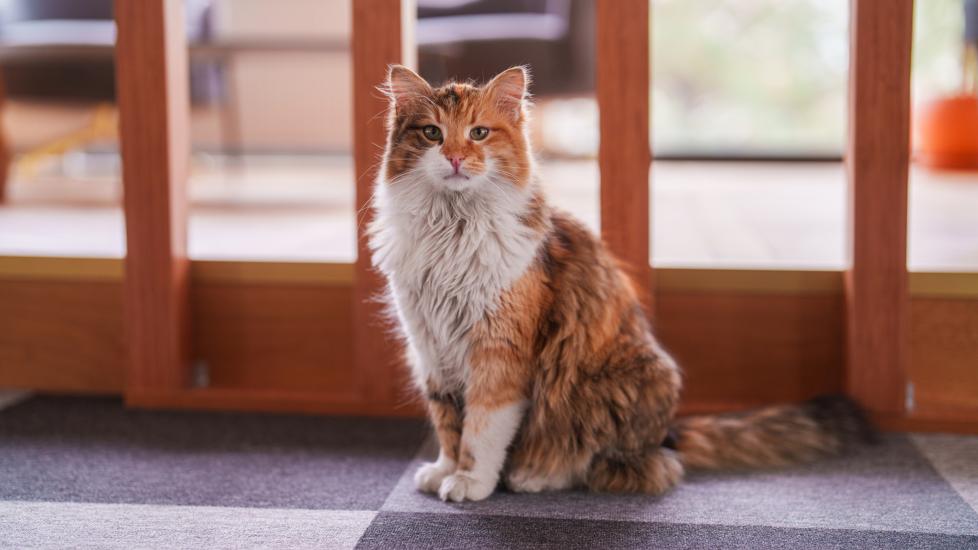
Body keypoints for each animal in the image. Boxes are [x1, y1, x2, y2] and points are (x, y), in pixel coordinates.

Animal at [368, 64, 868, 504]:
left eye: (478, 133)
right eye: (432, 133)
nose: (454, 157)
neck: (451, 229)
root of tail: (665, 435)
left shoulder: (499, 353)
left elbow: (481, 428)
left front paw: (471, 481)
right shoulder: (430, 346)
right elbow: (448, 423)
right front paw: (445, 470)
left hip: (611, 387)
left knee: (616, 465)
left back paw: (535, 475)